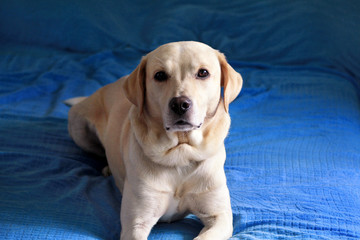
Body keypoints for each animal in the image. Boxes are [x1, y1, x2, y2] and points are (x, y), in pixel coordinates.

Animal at [66, 40, 243, 239]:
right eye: (160, 75)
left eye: (203, 73)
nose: (180, 104)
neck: (180, 154)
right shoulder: (136, 223)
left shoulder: (219, 217)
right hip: (79, 128)